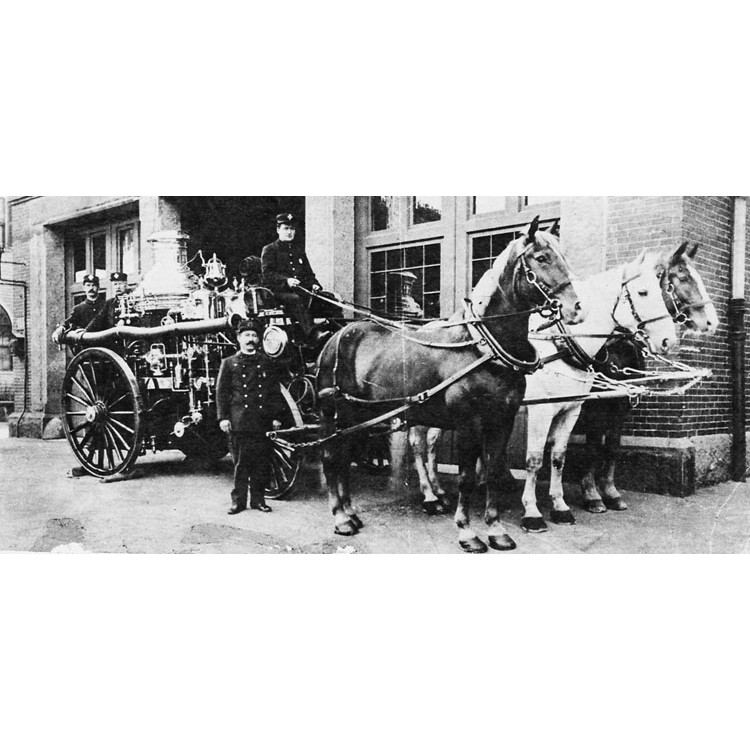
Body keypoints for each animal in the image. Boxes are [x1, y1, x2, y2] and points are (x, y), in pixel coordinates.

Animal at [314, 217, 584, 552]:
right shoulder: (469, 423)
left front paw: (496, 530)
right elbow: (467, 478)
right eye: (542, 258)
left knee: (345, 456)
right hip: (336, 414)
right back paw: (340, 518)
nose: (576, 308)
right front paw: (467, 532)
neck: (483, 348)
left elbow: (491, 473)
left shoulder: (502, 420)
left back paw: (351, 513)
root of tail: (337, 335)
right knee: (332, 457)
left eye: (563, 257)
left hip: (361, 416)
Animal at [576, 244, 724, 516]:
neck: (616, 343)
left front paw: (611, 493)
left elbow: (612, 447)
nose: (711, 322)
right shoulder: (594, 405)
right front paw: (592, 495)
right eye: (682, 278)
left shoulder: (621, 402)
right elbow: (591, 447)